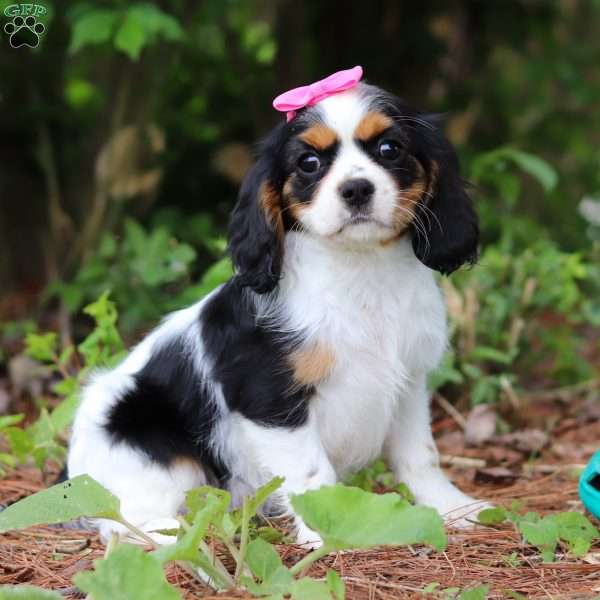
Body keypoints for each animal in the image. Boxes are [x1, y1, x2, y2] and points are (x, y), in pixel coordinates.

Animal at [68, 68, 486, 548]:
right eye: (309, 163)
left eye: (389, 149)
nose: (356, 189)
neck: (360, 269)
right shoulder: (270, 399)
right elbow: (312, 471)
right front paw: (325, 528)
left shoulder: (409, 384)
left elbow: (421, 455)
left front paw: (453, 507)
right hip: (145, 440)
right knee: (127, 519)